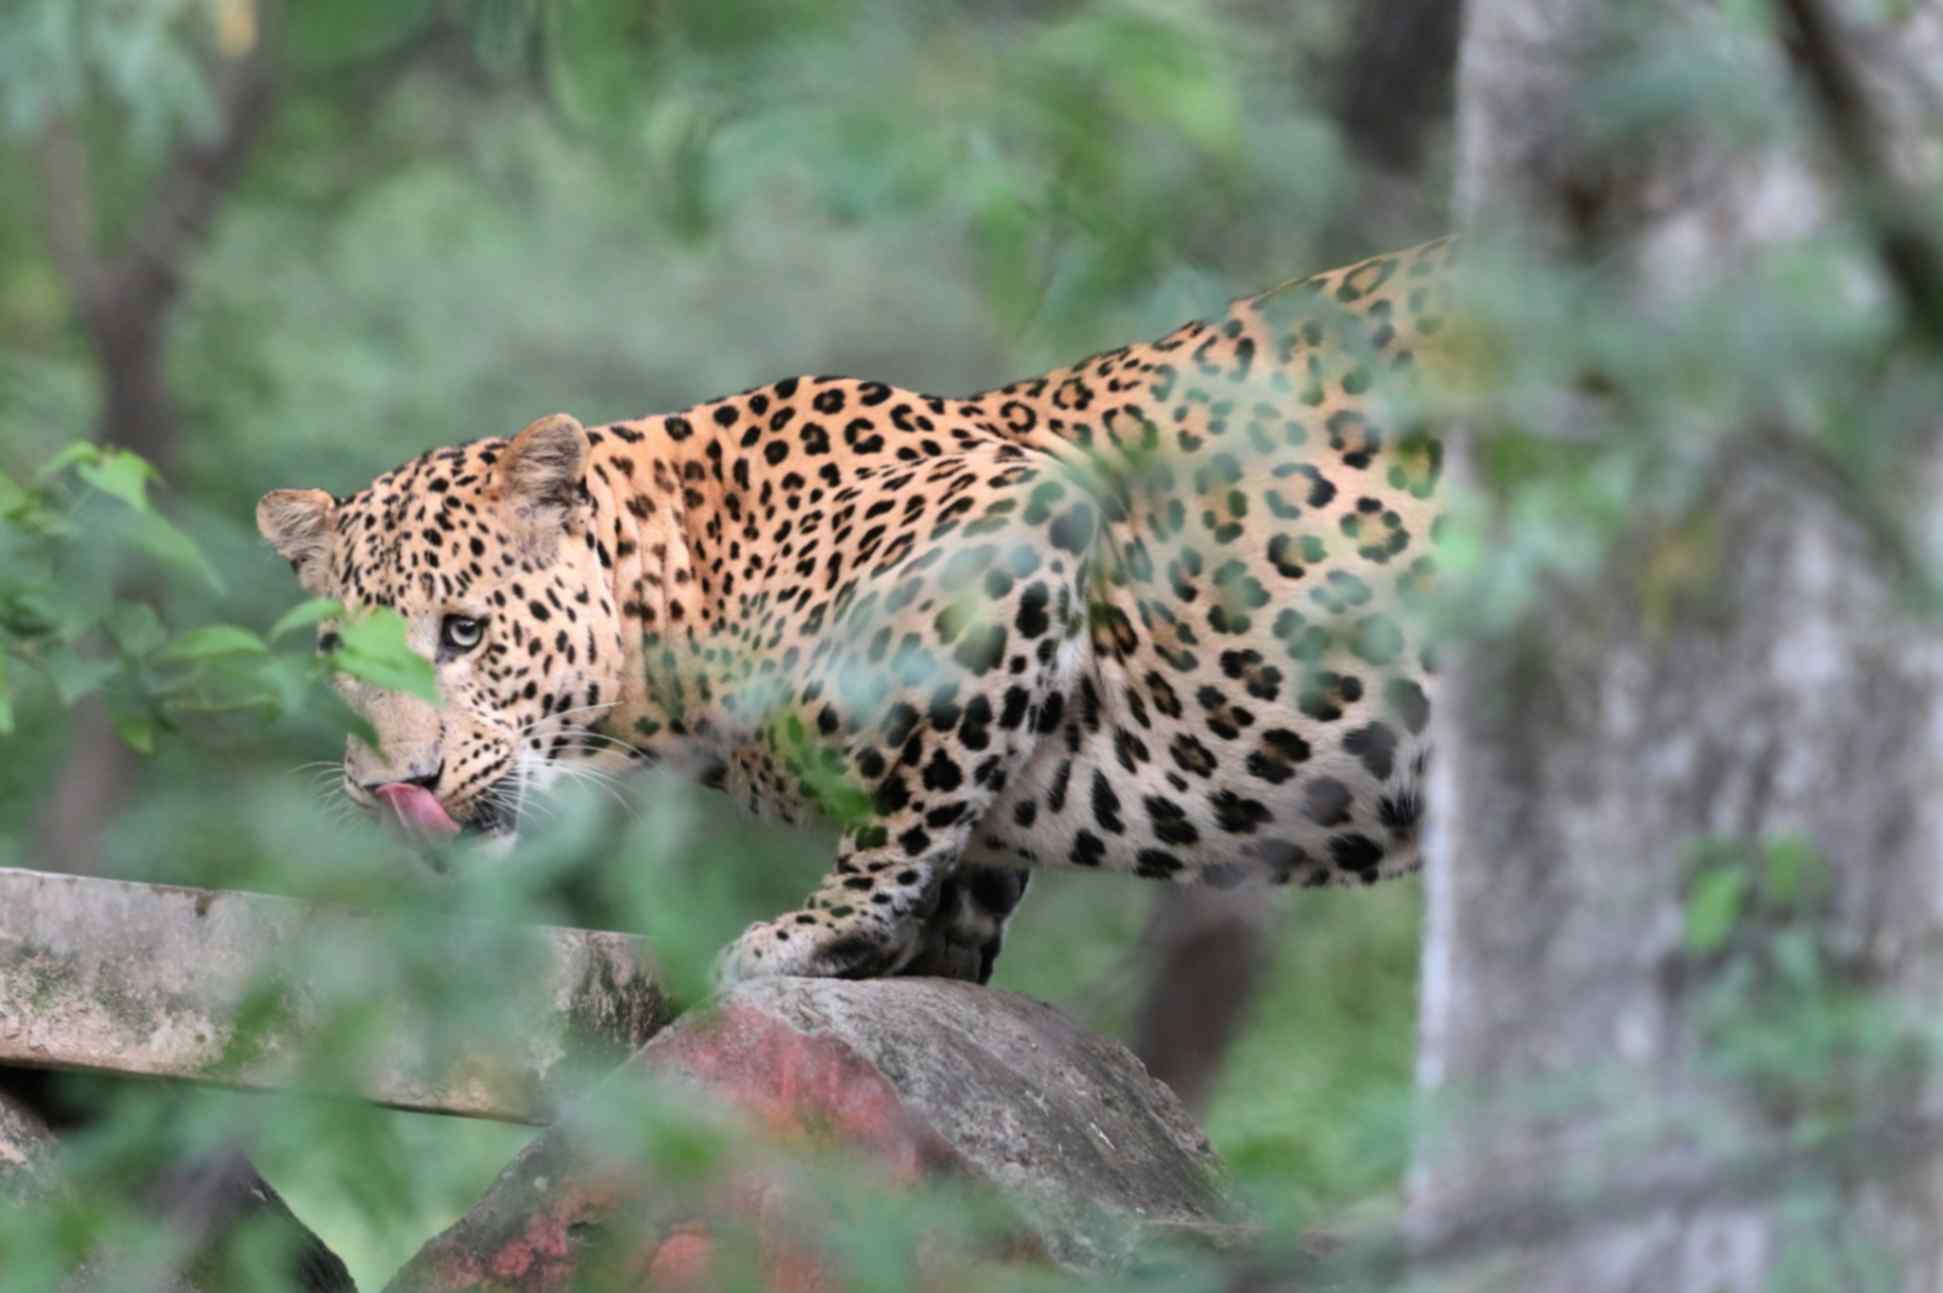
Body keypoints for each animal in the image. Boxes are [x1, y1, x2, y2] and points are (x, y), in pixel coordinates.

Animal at [257, 238, 1453, 986]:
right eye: (334, 653)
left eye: (463, 632)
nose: (396, 786)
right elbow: (969, 855)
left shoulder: (1015, 519)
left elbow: (911, 799)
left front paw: (817, 931)